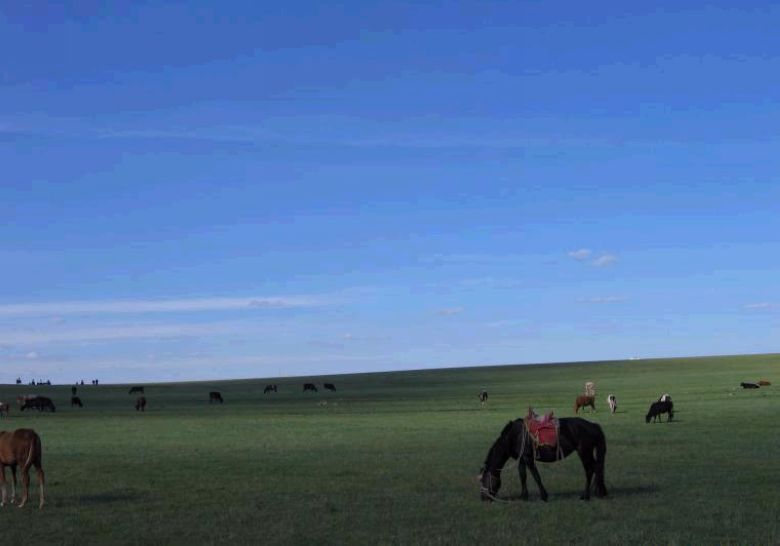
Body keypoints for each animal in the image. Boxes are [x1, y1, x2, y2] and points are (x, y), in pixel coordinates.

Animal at [476, 416, 608, 502]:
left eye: (484, 480)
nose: (483, 498)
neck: (514, 436)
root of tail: (593, 425)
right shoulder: (522, 459)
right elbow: (522, 475)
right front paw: (523, 496)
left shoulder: (528, 458)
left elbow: (536, 476)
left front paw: (544, 496)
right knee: (597, 468)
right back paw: (598, 491)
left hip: (584, 452)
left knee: (590, 470)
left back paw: (586, 496)